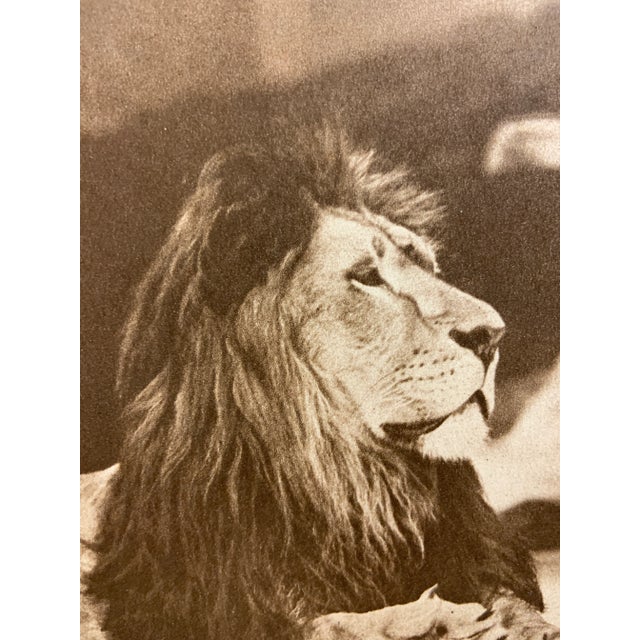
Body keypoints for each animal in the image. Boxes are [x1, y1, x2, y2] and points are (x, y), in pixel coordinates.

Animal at [82, 125, 559, 639]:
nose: (493, 333)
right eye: (368, 277)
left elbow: (507, 598)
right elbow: (331, 624)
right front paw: (434, 618)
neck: (346, 483)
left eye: (428, 266)